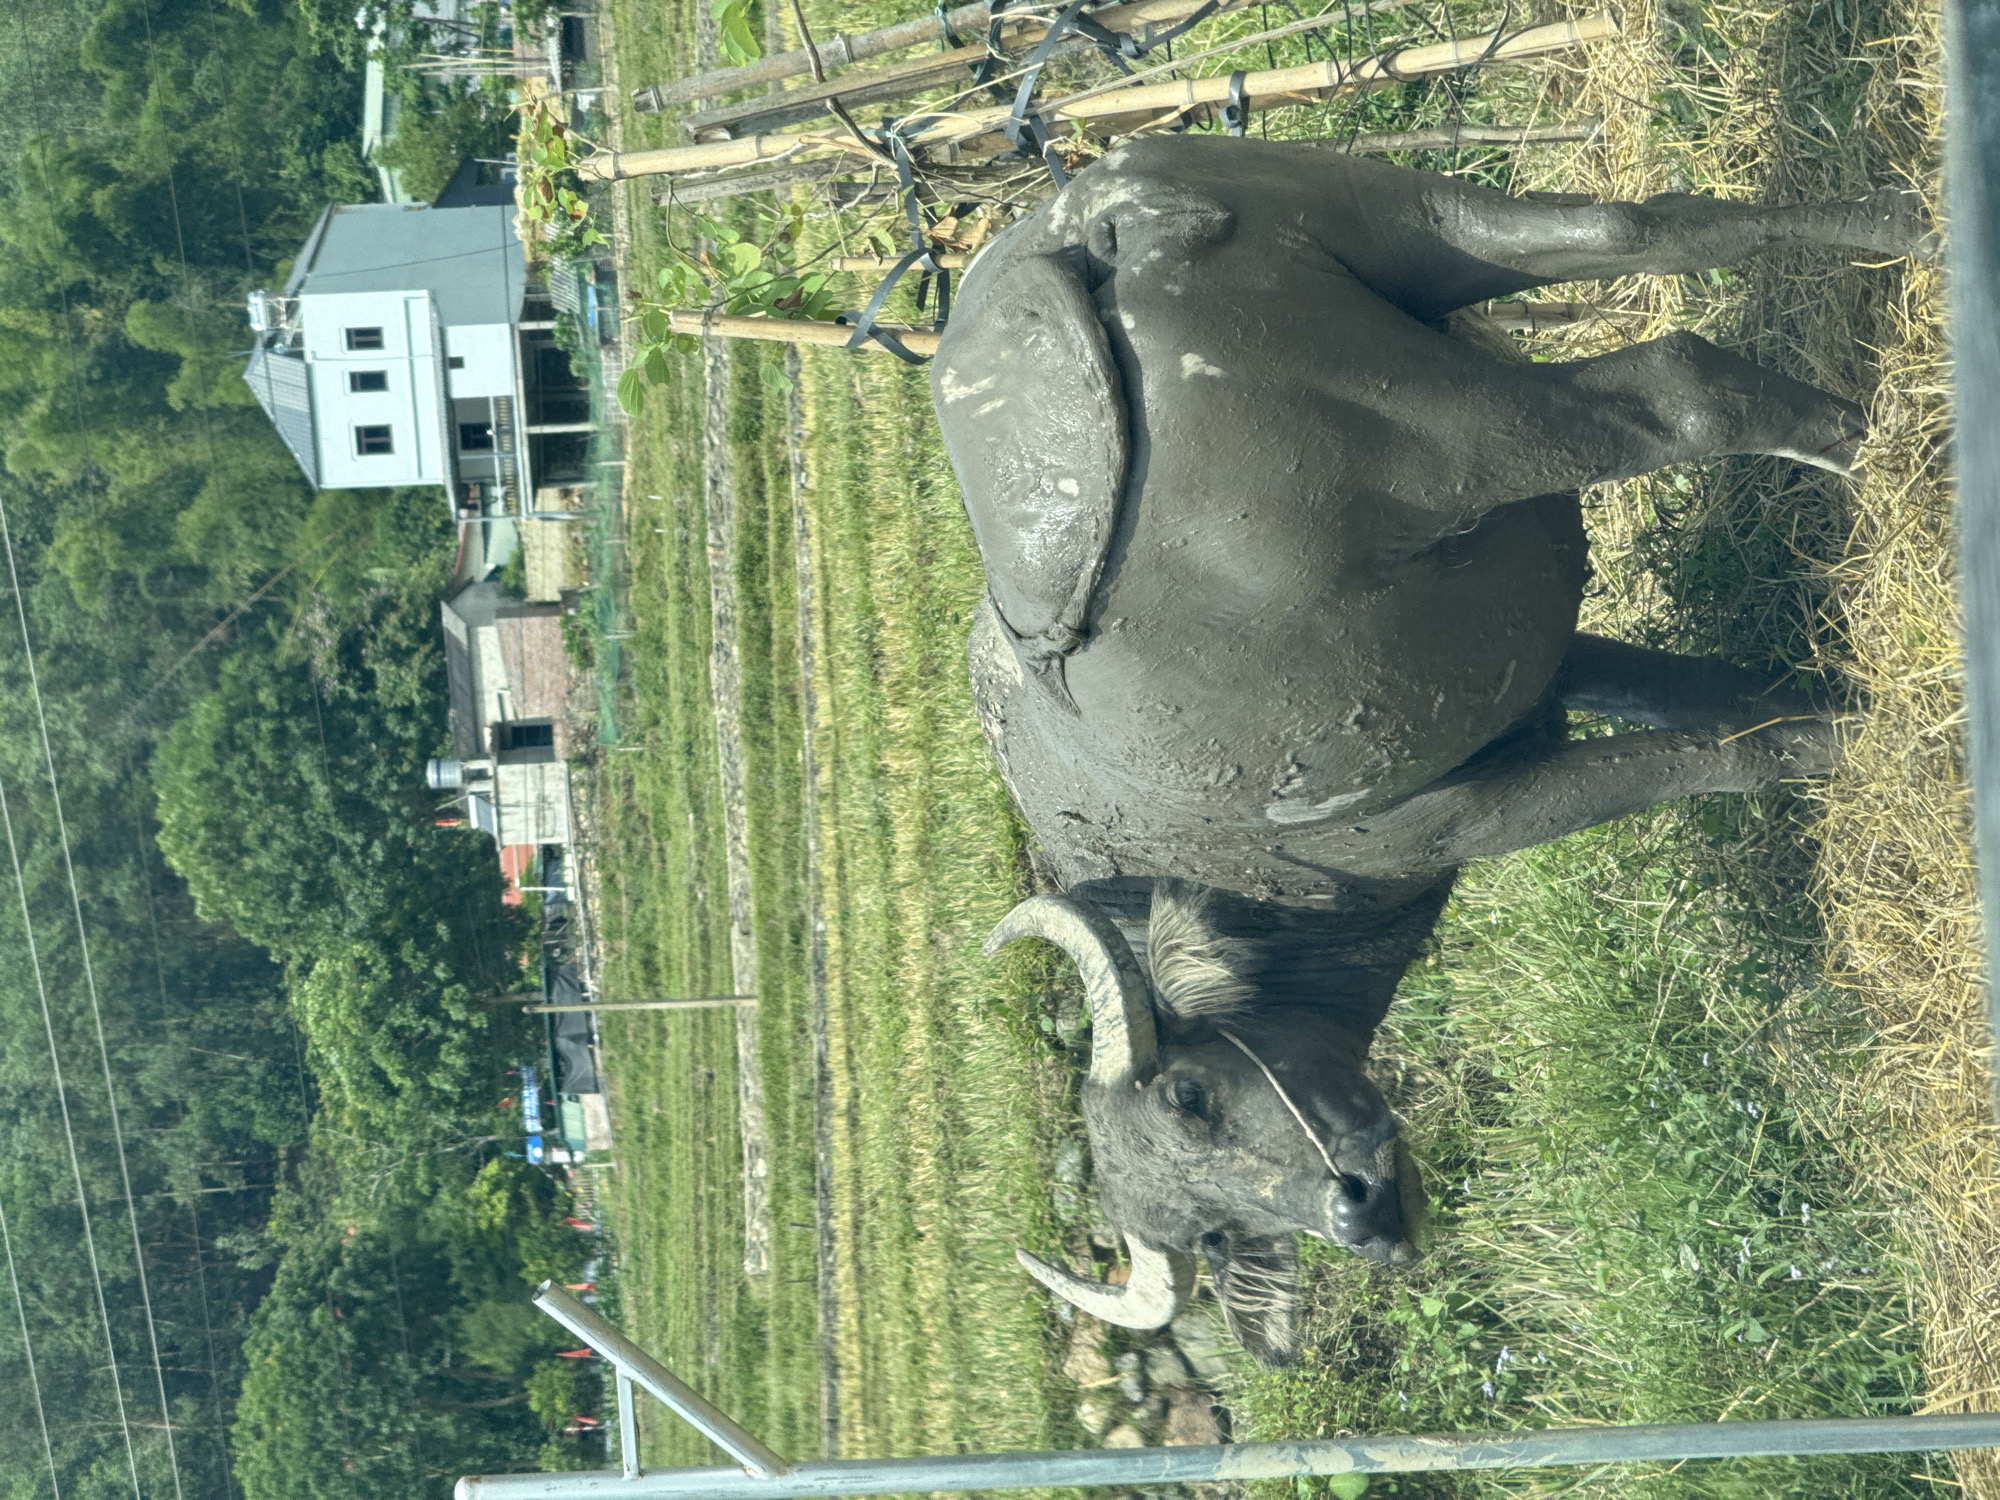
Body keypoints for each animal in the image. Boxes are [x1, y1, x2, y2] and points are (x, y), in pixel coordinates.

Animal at [930, 136, 1929, 1365]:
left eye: (1189, 1101)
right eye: (1210, 1234)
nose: (1358, 1215)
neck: (1237, 878)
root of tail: (1085, 239)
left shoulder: (1463, 817)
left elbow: (1706, 761)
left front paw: (1860, 740)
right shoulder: (1540, 679)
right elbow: (1711, 702)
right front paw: (1831, 697)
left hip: (1441, 442)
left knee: (1677, 390)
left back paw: (1891, 454)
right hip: (1397, 219)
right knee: (1637, 229)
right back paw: (1913, 229)